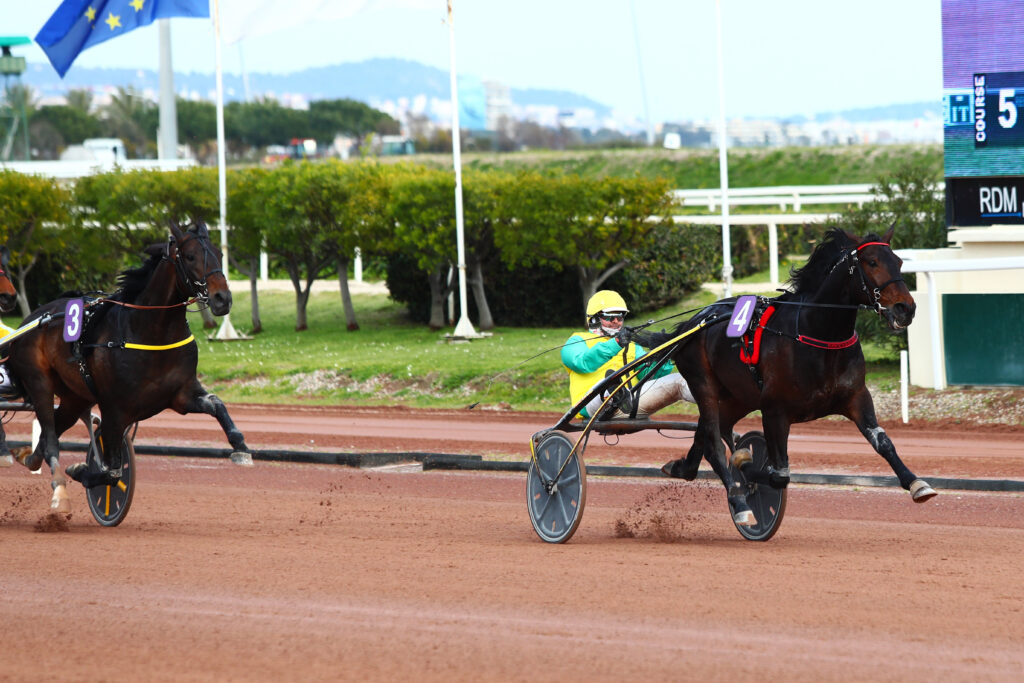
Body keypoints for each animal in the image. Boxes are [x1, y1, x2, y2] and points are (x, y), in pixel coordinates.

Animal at [7, 222, 251, 516]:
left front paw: (240, 446)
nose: (222, 298)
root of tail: (30, 319)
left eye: (220, 253)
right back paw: (59, 492)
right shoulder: (114, 408)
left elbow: (217, 404)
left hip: (75, 398)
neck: (151, 332)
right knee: (51, 438)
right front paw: (80, 470)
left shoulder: (181, 395)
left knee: (45, 439)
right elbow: (111, 471)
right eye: (190, 256)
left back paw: (27, 457)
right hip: (39, 381)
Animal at [647, 227, 937, 528]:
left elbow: (883, 442)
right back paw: (740, 502)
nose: (905, 308)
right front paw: (746, 469)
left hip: (739, 397)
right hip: (704, 384)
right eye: (872, 262)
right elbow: (779, 475)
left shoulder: (857, 396)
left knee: (709, 432)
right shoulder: (775, 410)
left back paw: (685, 466)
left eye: (899, 262)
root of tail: (693, 322)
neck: (818, 334)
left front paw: (916, 483)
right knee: (714, 444)